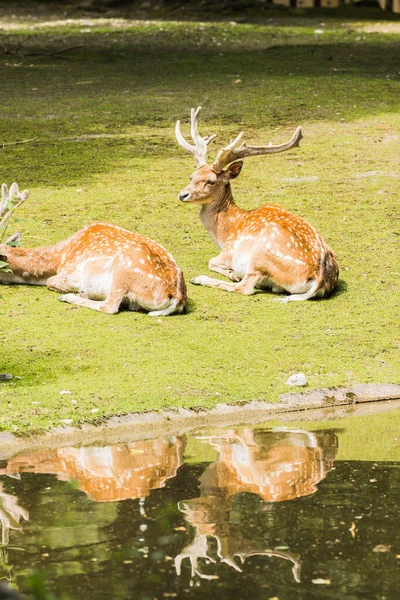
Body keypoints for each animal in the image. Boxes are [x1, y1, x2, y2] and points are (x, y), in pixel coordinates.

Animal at [0, 183, 188, 316]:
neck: (58, 258)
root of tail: (177, 296)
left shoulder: (72, 271)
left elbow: (52, 282)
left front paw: (77, 291)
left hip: (123, 271)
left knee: (110, 306)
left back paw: (70, 297)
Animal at [175, 107, 338, 302]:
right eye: (191, 176)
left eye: (211, 181)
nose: (182, 195)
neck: (225, 232)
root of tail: (319, 280)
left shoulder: (228, 252)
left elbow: (211, 262)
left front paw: (232, 273)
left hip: (260, 255)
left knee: (244, 287)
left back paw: (201, 278)